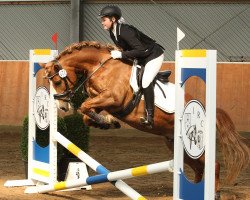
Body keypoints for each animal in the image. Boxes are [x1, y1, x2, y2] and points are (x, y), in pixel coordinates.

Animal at [40, 41, 248, 198]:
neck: (101, 66)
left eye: (56, 81)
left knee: (214, 164)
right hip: (177, 146)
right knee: (198, 168)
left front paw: (107, 121)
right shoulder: (102, 102)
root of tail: (207, 111)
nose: (62, 107)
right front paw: (108, 122)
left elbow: (84, 107)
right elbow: (86, 115)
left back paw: (215, 192)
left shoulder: (113, 99)